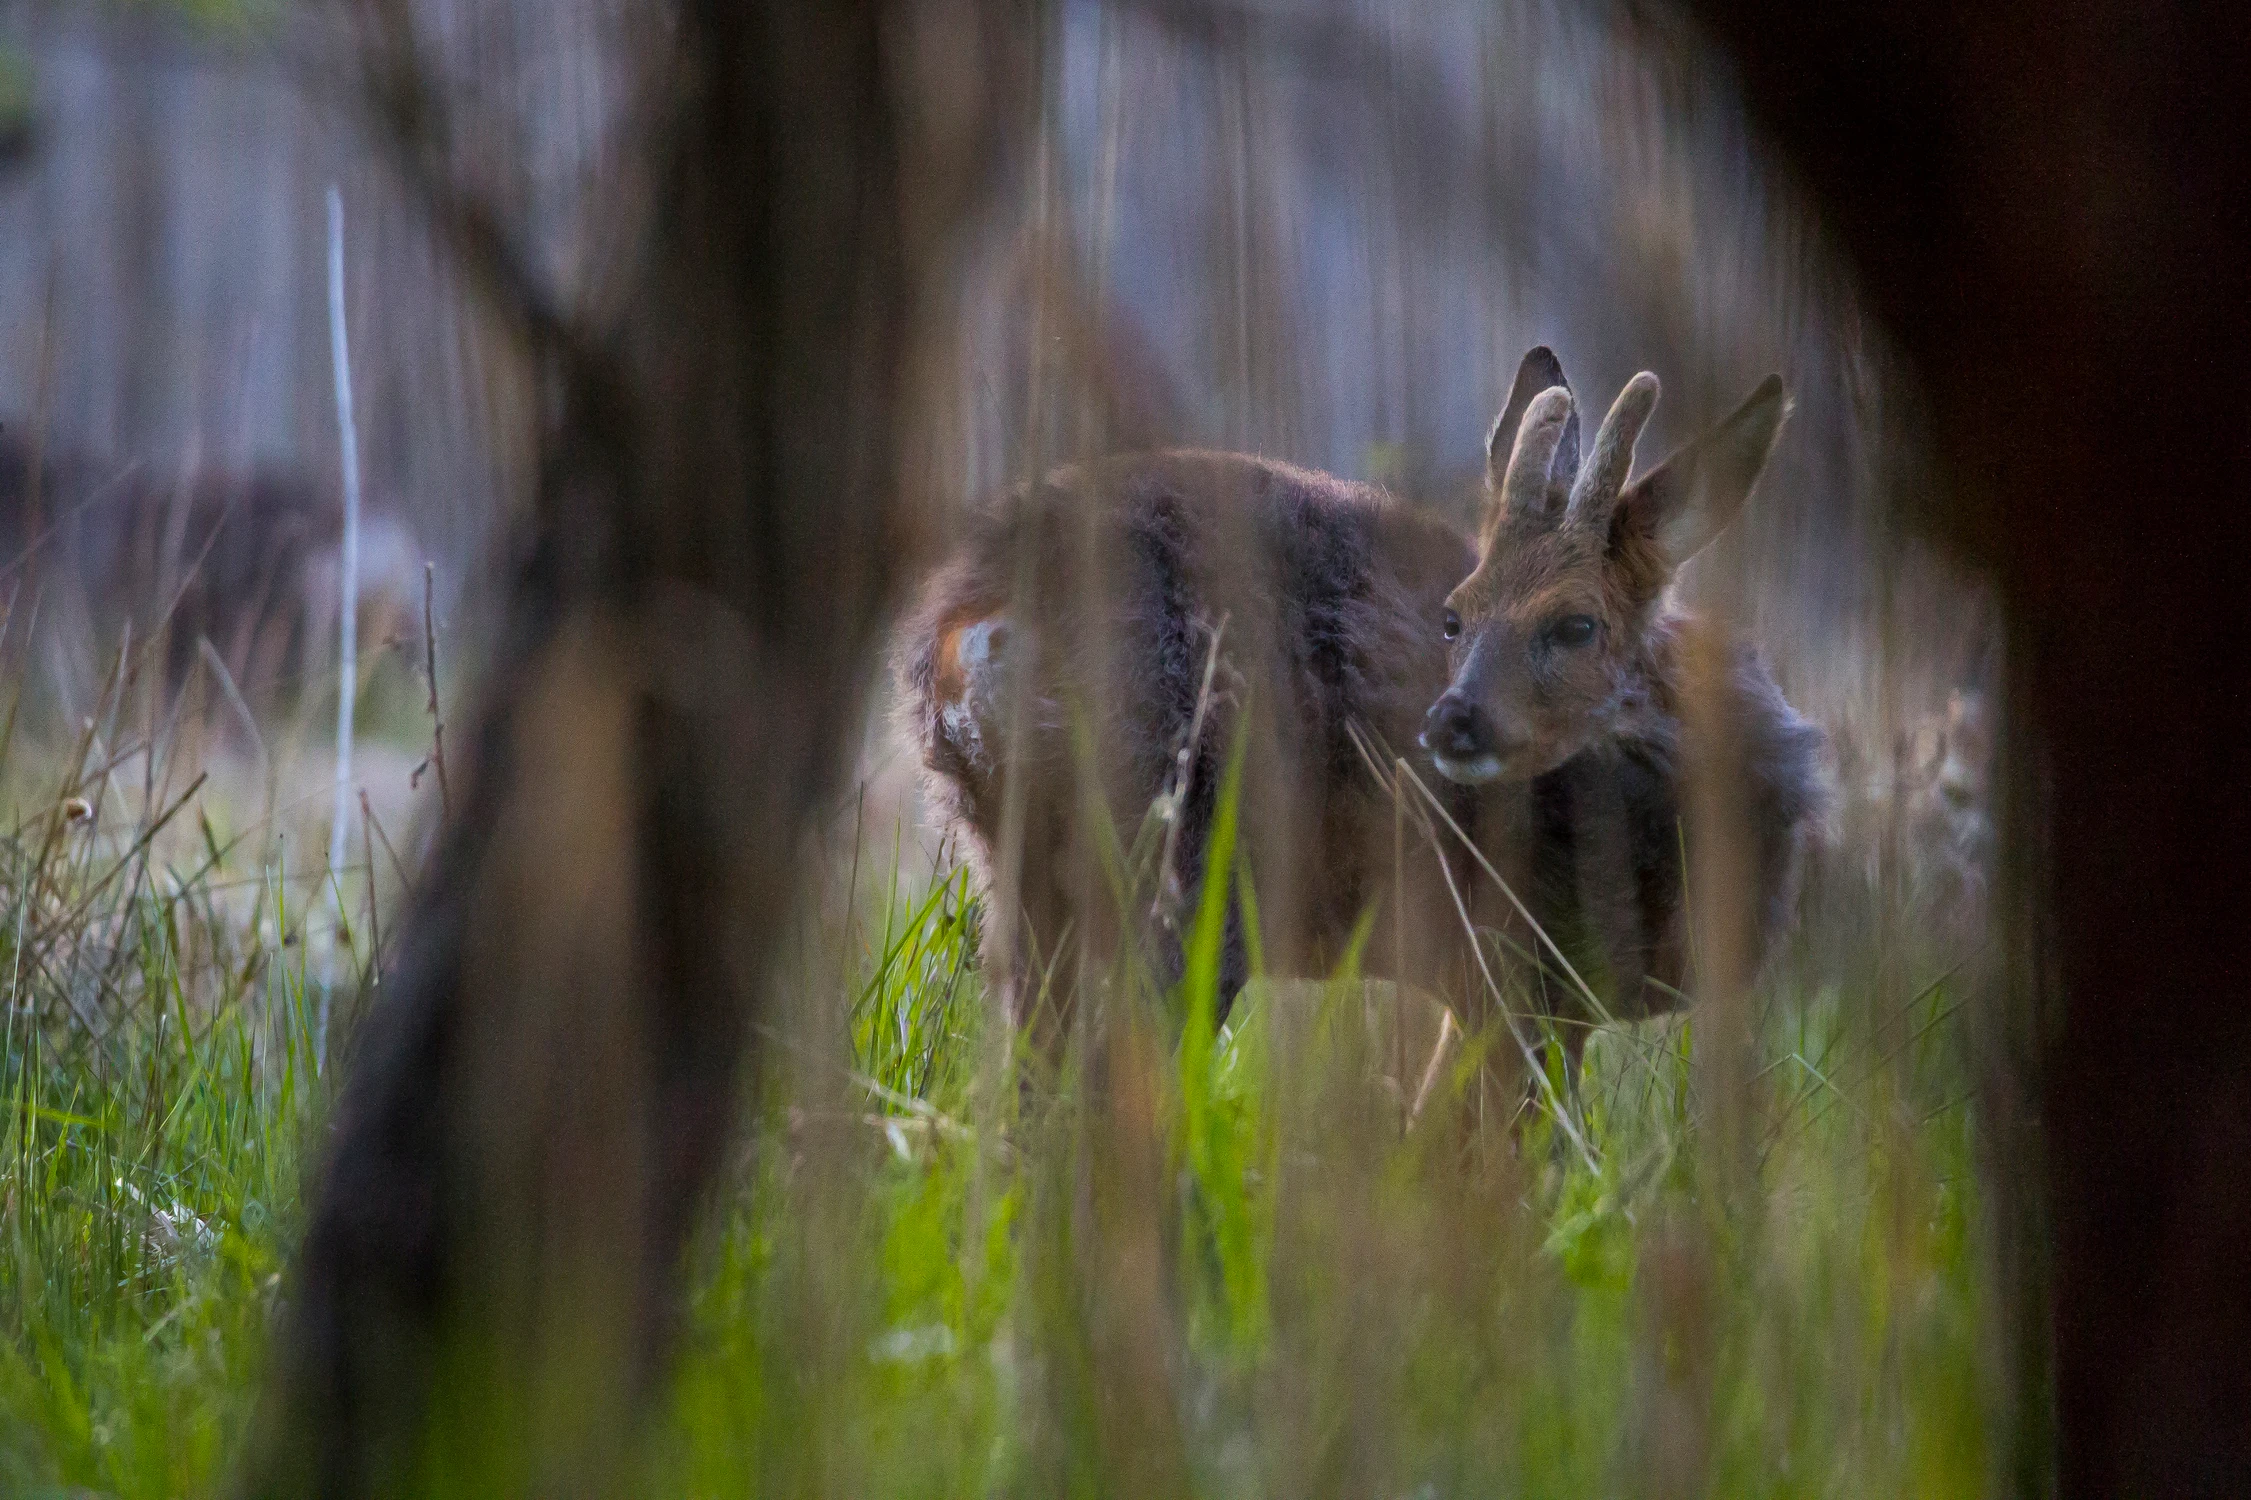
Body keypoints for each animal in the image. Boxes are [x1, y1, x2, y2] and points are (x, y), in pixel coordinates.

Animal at [895, 344, 1827, 1063]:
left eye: (1577, 624)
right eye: (1454, 615)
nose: (1450, 720)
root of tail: (973, 615)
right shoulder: (1532, 973)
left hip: (1021, 873)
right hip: (1183, 855)